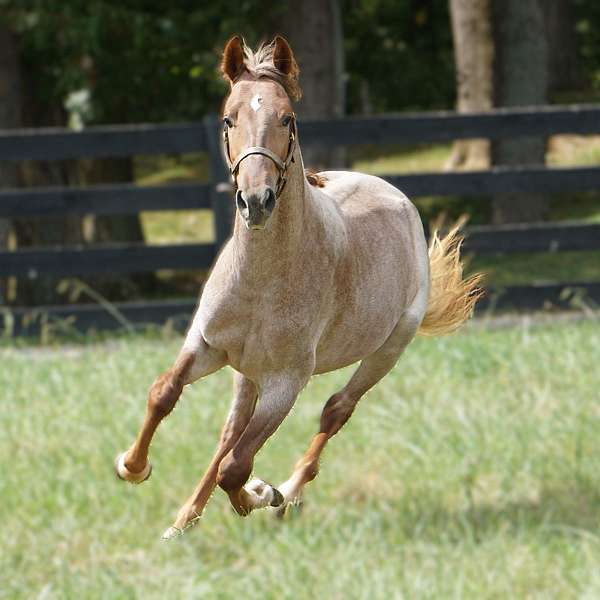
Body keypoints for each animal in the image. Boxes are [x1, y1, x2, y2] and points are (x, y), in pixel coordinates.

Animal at [116, 34, 482, 540]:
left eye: (287, 118)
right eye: (229, 118)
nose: (256, 201)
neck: (263, 279)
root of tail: (394, 194)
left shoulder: (287, 381)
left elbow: (238, 467)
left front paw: (263, 495)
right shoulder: (206, 345)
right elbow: (165, 393)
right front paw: (133, 466)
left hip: (388, 349)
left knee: (335, 410)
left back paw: (286, 492)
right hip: (246, 370)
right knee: (230, 433)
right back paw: (183, 522)